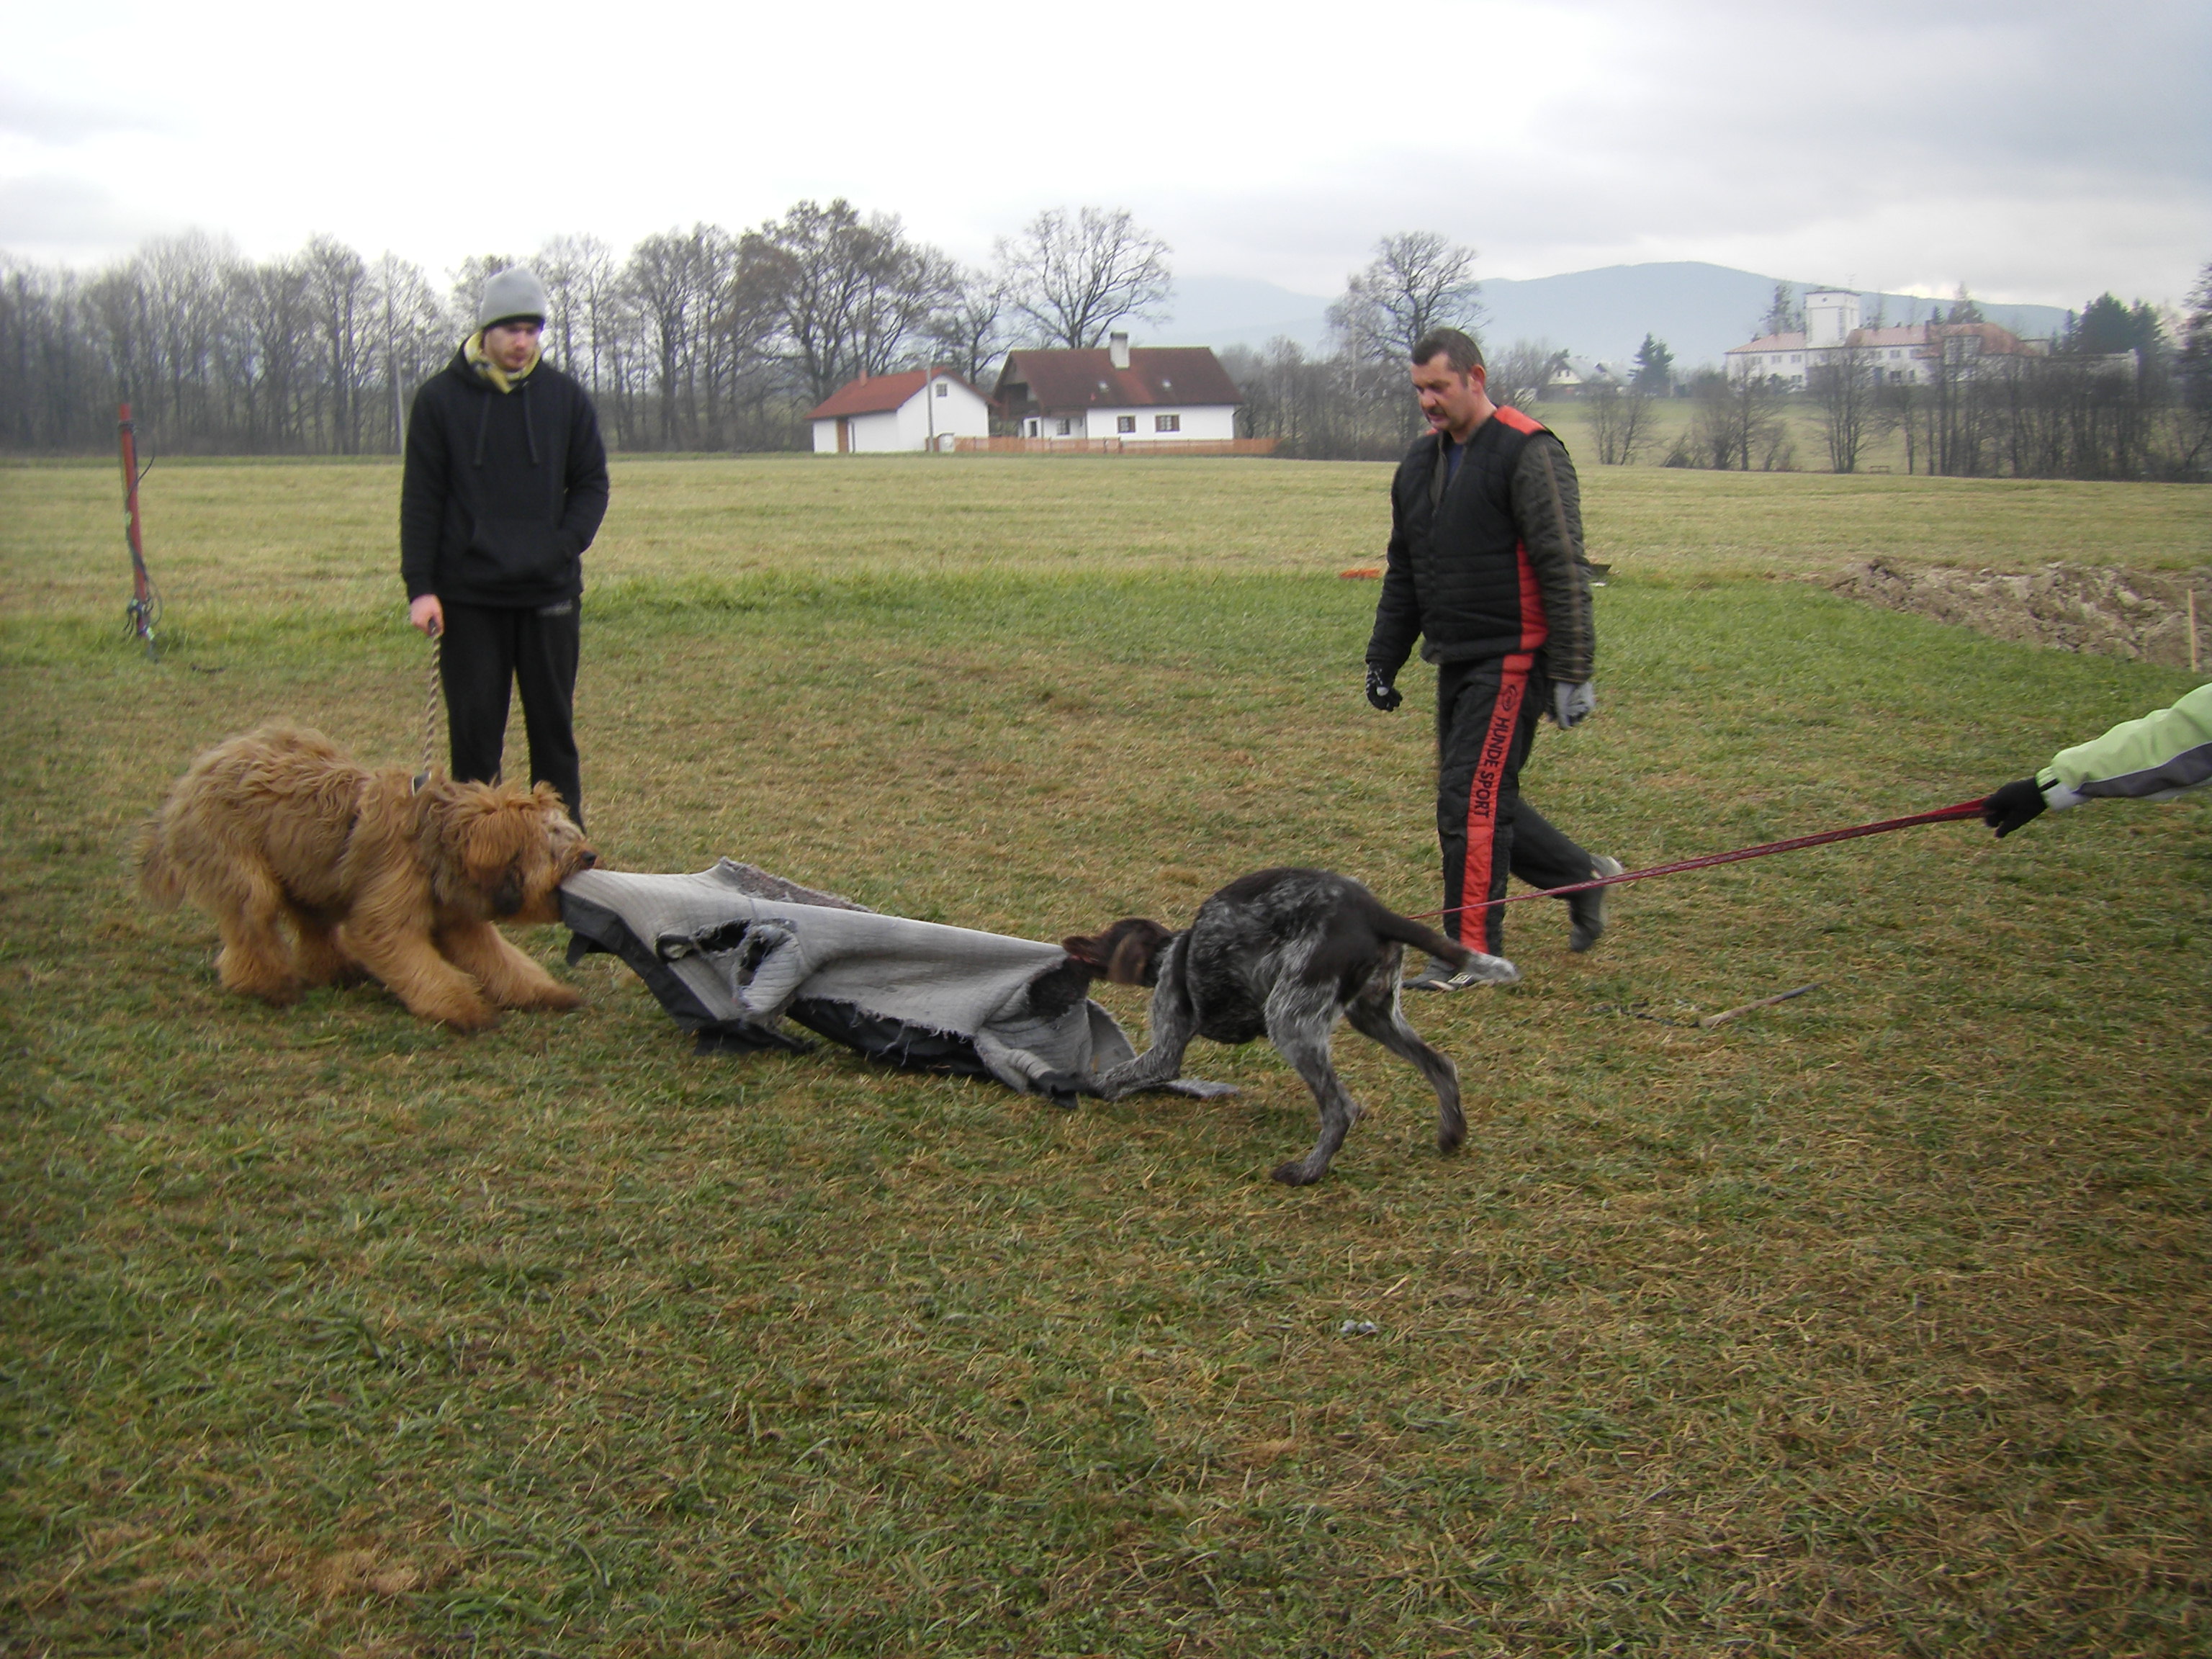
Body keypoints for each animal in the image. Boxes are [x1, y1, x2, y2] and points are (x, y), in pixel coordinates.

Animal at [143, 725, 601, 1026]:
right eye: (553, 841)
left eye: (569, 831)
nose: (591, 855)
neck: (436, 838)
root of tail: (192, 777)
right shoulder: (388, 913)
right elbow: (416, 962)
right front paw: (463, 1008)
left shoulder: (460, 918)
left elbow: (502, 961)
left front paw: (543, 992)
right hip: (242, 871)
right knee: (250, 929)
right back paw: (268, 985)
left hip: (307, 876)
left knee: (312, 929)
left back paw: (337, 972)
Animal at [1057, 871, 1521, 1185]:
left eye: (1106, 936)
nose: (1070, 942)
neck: (1174, 950)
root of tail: (1375, 913)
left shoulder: (1165, 1051)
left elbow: (1106, 1078)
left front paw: (1073, 1085)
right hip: (1373, 1015)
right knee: (1440, 1066)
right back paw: (1451, 1135)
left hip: (1289, 1021)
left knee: (1340, 1108)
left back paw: (1307, 1172)